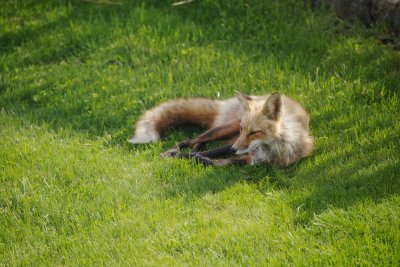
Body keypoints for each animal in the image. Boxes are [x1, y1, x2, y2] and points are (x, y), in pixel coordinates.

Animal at [130, 92, 314, 168]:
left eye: (254, 132)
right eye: (243, 129)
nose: (233, 150)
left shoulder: (247, 160)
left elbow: (211, 161)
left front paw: (195, 158)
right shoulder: (236, 143)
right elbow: (207, 153)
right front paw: (174, 155)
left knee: (198, 144)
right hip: (225, 129)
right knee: (191, 140)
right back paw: (174, 150)